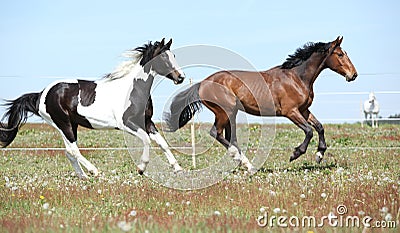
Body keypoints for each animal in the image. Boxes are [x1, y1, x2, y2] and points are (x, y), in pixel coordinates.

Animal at [0, 38, 185, 178]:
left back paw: (83, 176)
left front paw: (178, 168)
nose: (181, 77)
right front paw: (141, 168)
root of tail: (41, 94)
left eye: (174, 55)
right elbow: (146, 140)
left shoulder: (147, 121)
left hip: (70, 125)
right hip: (64, 124)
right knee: (73, 150)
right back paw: (94, 171)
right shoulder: (126, 124)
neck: (133, 89)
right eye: (163, 57)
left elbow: (162, 143)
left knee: (69, 151)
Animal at [164, 36, 358, 174]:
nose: (353, 74)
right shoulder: (291, 112)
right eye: (340, 54)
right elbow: (309, 131)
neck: (297, 77)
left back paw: (244, 163)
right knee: (216, 133)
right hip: (224, 111)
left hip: (231, 114)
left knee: (229, 137)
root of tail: (202, 83)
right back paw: (244, 162)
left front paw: (319, 155)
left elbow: (319, 127)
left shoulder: (304, 110)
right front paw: (295, 154)